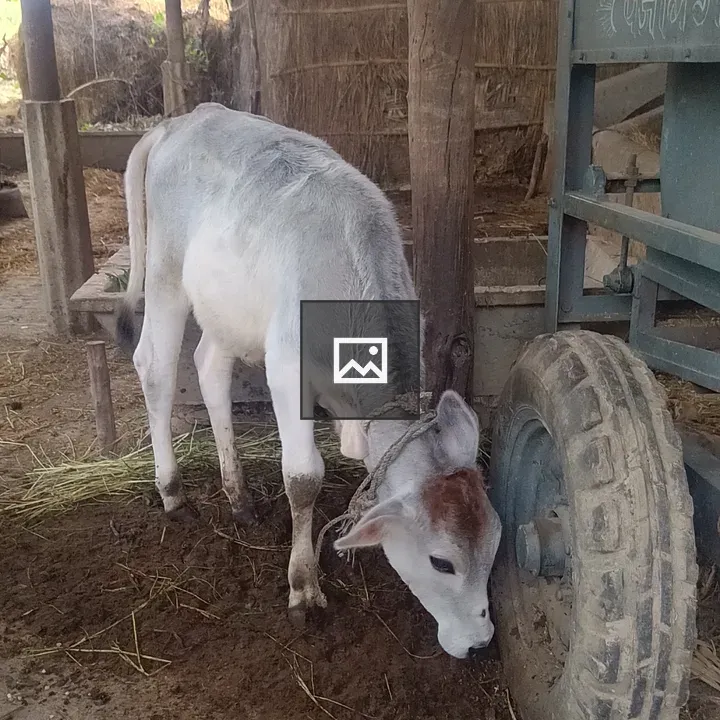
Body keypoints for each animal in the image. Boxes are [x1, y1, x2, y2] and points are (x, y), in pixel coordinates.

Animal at [115, 103, 502, 660]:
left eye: (495, 544)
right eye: (441, 562)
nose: (480, 643)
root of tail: (184, 120)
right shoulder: (286, 370)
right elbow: (304, 478)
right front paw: (304, 588)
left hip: (227, 309)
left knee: (210, 368)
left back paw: (239, 497)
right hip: (164, 274)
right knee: (156, 369)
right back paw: (173, 493)